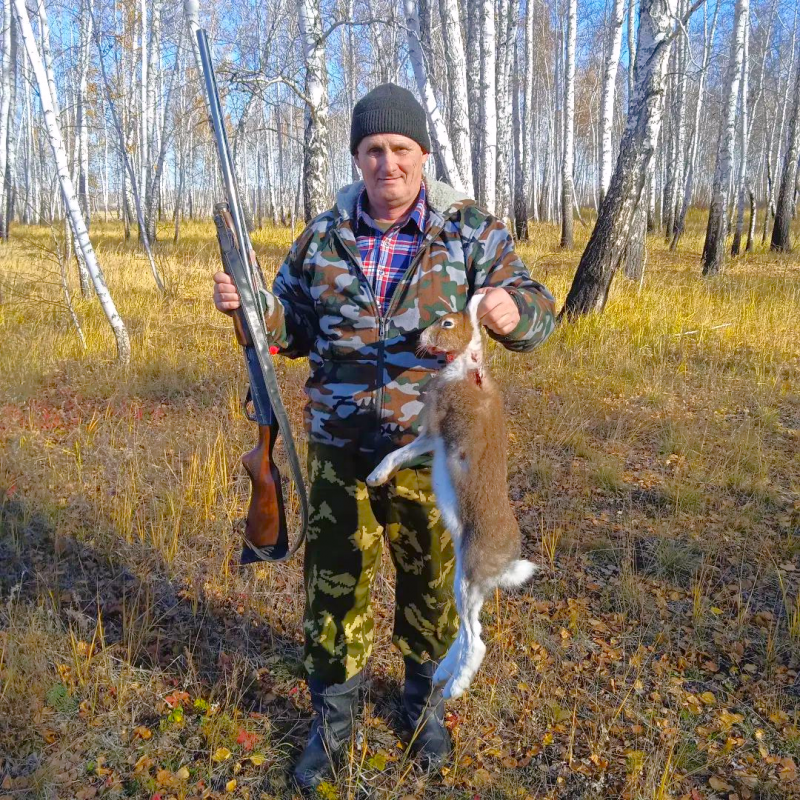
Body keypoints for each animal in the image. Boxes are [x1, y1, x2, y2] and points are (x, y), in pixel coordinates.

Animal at [366, 294, 539, 699]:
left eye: (446, 323)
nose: (419, 336)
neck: (466, 364)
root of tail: (507, 560)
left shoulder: (432, 432)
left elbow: (398, 453)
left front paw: (374, 474)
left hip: (469, 577)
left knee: (476, 641)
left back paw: (453, 688)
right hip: (465, 578)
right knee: (467, 633)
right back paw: (443, 674)